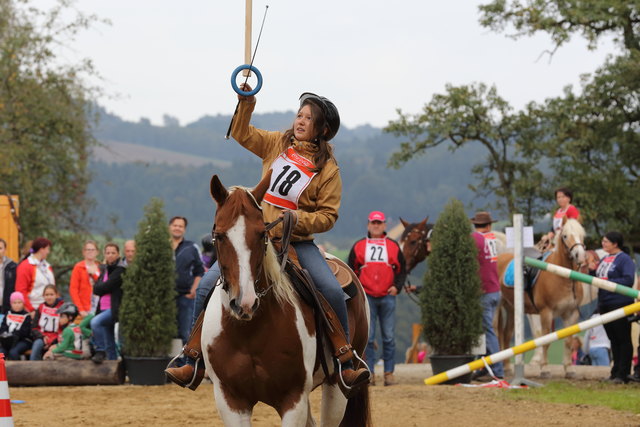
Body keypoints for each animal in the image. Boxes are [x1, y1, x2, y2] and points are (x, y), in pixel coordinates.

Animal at [200, 173, 370, 427]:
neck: (250, 333)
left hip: (337, 388)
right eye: (219, 236)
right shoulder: (230, 399)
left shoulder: (293, 398)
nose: (245, 303)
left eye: (261, 234)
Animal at [498, 219, 588, 376]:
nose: (580, 256)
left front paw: (569, 369)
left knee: (506, 334)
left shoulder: (571, 313)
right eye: (565, 236)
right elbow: (545, 340)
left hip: (511, 309)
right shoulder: (546, 313)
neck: (562, 276)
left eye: (582, 235)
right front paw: (544, 368)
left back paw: (507, 367)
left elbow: (568, 340)